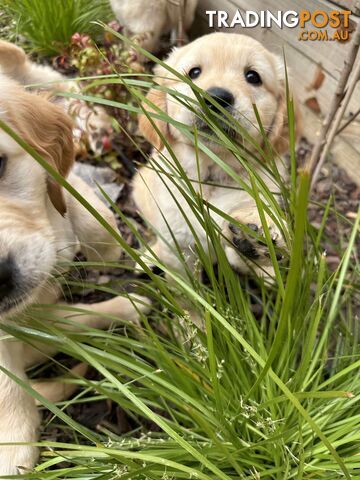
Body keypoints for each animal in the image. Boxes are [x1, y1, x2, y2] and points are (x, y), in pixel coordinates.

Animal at [132, 32, 300, 278]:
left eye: (253, 77)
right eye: (194, 72)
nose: (217, 97)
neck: (213, 174)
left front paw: (256, 234)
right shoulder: (179, 249)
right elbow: (185, 284)